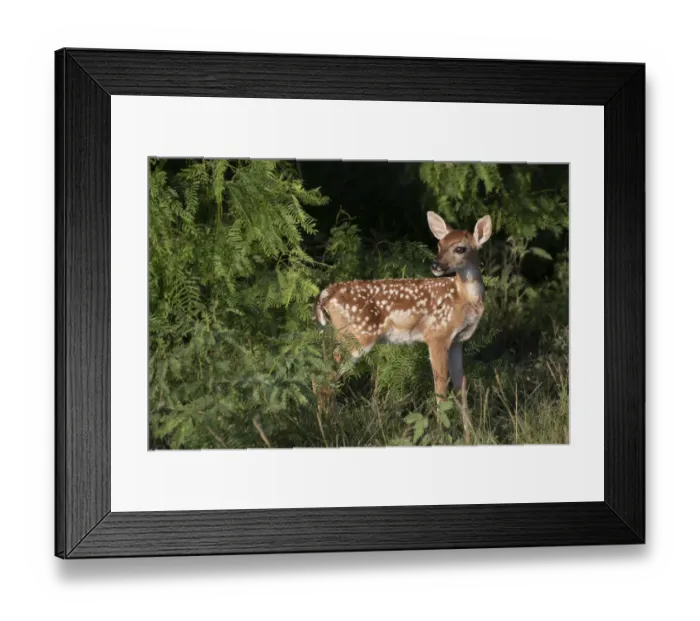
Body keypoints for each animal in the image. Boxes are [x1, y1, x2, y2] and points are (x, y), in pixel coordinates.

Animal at [314, 211, 492, 402]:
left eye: (460, 249)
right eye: (439, 245)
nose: (435, 265)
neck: (464, 299)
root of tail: (327, 292)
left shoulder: (458, 341)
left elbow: (461, 387)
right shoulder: (437, 334)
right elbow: (441, 388)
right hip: (357, 335)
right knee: (325, 380)